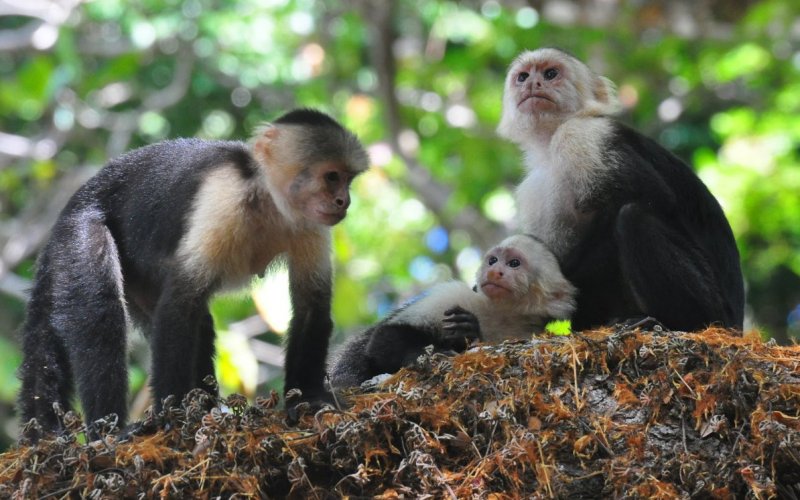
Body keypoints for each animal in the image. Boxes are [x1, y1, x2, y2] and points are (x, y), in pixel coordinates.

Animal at [18, 106, 368, 438]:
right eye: (331, 177)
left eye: (348, 180)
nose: (344, 201)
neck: (268, 199)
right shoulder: (224, 198)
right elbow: (179, 305)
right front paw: (171, 416)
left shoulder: (310, 224)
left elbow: (311, 307)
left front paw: (309, 396)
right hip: (78, 231)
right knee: (102, 316)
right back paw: (110, 430)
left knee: (198, 322)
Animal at [328, 232, 580, 388]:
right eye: (493, 260)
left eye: (514, 264)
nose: (494, 272)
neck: (502, 313)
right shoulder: (457, 295)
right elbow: (384, 338)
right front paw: (437, 352)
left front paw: (468, 333)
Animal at [496, 47, 748, 332]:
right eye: (523, 76)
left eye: (550, 74)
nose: (532, 84)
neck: (549, 144)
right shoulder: (533, 188)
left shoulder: (582, 135)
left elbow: (654, 198)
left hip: (717, 309)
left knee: (633, 218)